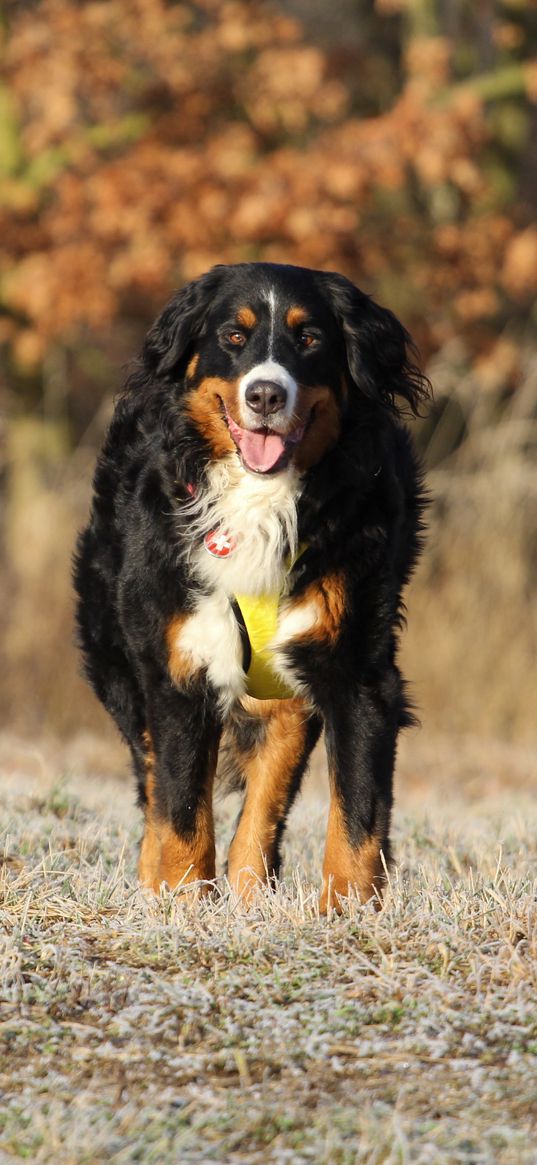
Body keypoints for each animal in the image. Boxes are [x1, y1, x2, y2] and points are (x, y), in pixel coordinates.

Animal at [74, 262, 426, 908]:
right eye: (233, 337)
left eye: (309, 337)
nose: (265, 394)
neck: (259, 498)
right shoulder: (178, 665)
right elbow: (182, 810)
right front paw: (183, 906)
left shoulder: (357, 669)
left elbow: (356, 815)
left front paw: (348, 914)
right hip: (121, 661)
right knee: (154, 782)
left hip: (281, 696)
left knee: (265, 801)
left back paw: (248, 895)